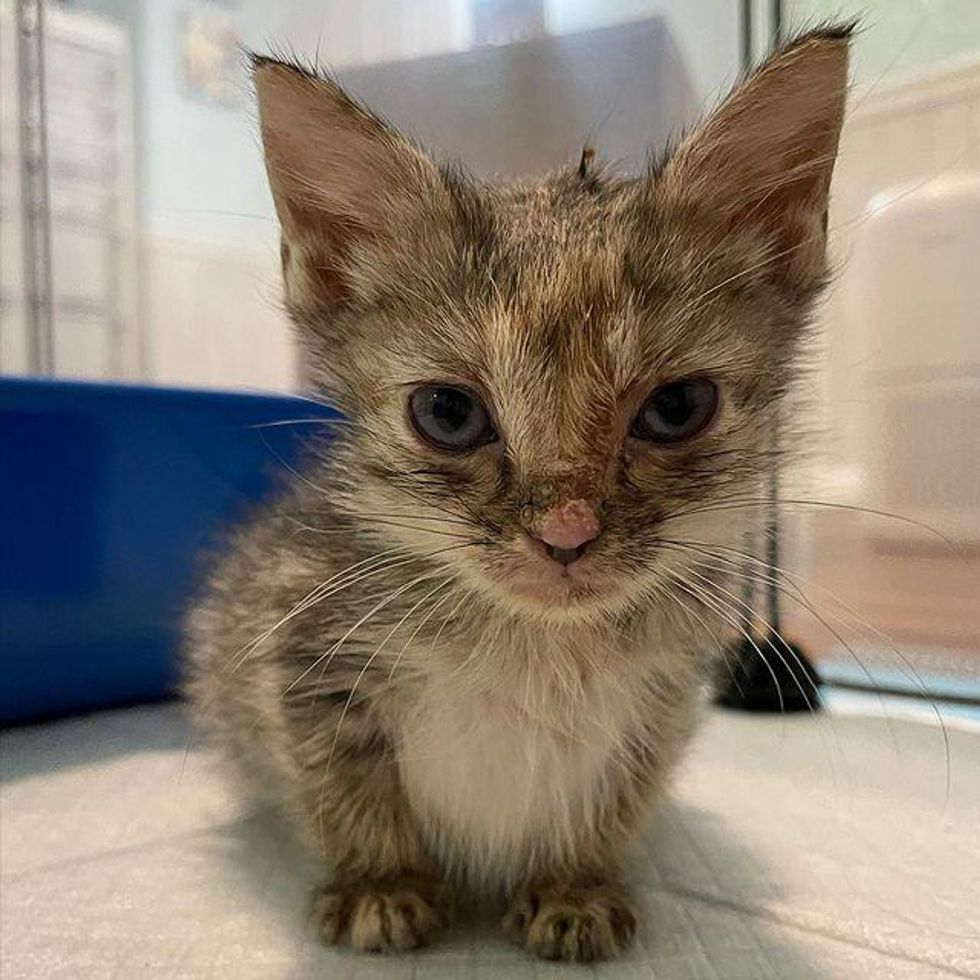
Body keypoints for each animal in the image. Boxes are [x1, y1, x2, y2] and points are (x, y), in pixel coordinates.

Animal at [182, 24, 848, 964]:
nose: (566, 532)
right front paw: (382, 883)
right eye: (448, 413)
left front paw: (572, 886)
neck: (539, 644)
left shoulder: (660, 706)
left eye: (677, 408)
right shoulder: (297, 638)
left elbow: (612, 801)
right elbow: (341, 782)